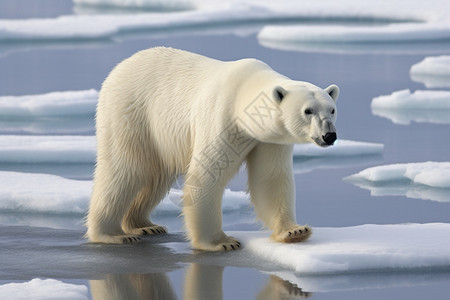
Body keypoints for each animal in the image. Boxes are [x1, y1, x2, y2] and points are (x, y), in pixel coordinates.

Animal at [85, 47, 338, 251]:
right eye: (308, 111)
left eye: (332, 109)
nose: (329, 135)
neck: (244, 93)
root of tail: (121, 66)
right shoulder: (221, 116)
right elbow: (207, 174)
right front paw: (221, 242)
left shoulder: (269, 140)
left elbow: (270, 177)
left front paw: (295, 231)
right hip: (131, 114)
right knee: (125, 170)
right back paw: (113, 234)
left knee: (155, 177)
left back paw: (144, 226)